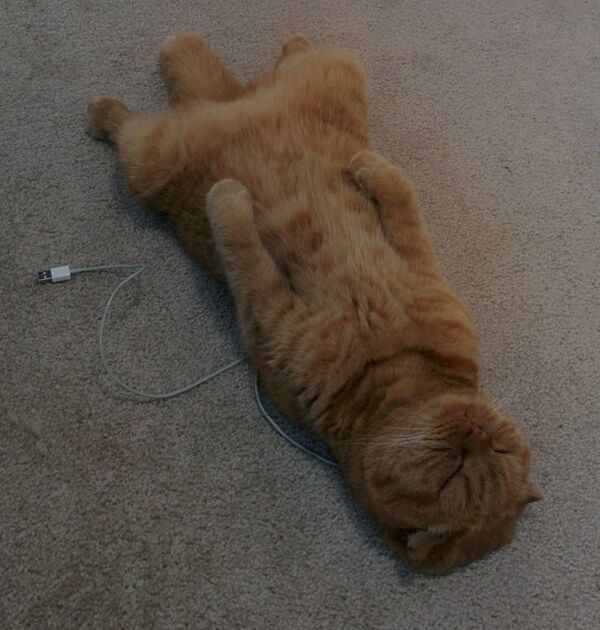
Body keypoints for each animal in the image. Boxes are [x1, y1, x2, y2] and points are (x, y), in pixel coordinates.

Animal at [87, 34, 542, 573]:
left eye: (457, 470)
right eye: (499, 447)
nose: (474, 428)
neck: (394, 368)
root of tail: (228, 100)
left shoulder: (267, 316)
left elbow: (240, 242)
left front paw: (229, 198)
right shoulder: (426, 275)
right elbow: (399, 195)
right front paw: (369, 169)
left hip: (149, 160)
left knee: (133, 123)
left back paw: (110, 106)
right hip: (341, 66)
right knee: (275, 61)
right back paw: (282, 49)